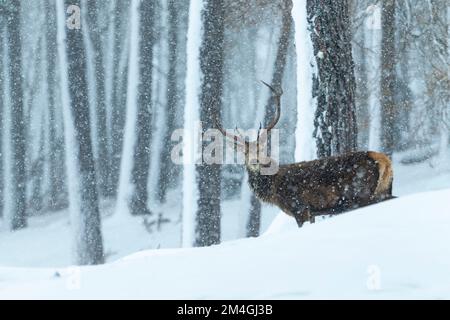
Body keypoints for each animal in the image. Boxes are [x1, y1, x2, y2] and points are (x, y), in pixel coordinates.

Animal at [214, 82, 394, 228]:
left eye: (261, 148)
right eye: (244, 152)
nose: (255, 161)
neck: (274, 190)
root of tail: (383, 159)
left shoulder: (299, 207)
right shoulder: (311, 212)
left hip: (360, 194)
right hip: (383, 189)